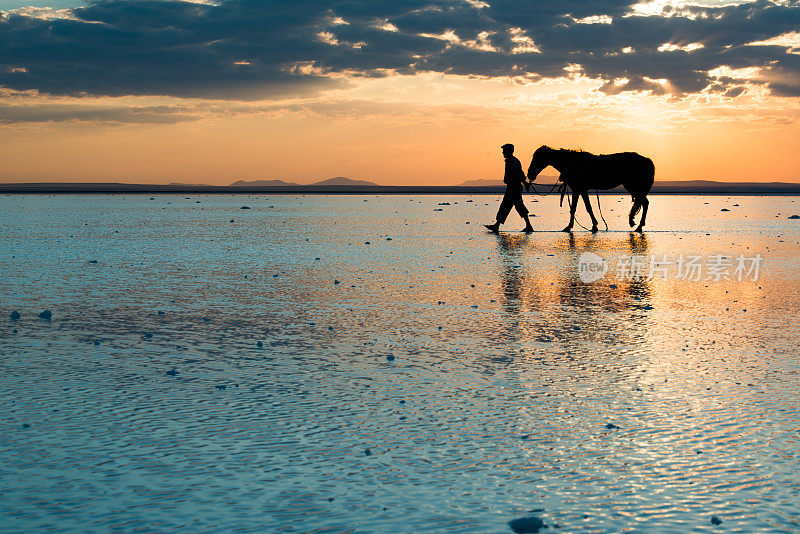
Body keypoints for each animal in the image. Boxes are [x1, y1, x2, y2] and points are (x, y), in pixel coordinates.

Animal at [524, 144, 656, 232]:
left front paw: (569, 227)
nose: (529, 174)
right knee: (643, 203)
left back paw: (638, 225)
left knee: (644, 203)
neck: (573, 164)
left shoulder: (578, 189)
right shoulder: (581, 190)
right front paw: (594, 225)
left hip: (633, 187)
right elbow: (585, 207)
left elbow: (578, 208)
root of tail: (647, 160)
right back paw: (638, 225)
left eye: (537, 158)